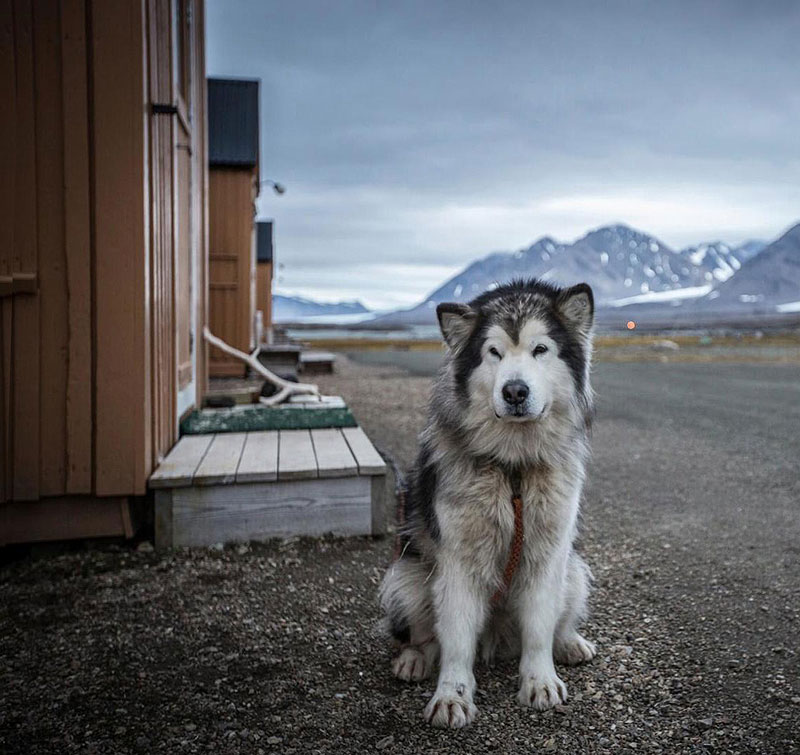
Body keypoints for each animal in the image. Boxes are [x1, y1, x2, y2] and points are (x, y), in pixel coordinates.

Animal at [379, 278, 597, 729]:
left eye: (540, 349)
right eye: (493, 352)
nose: (514, 391)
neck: (513, 468)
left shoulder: (548, 553)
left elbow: (539, 629)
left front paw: (540, 681)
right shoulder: (459, 560)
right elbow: (456, 640)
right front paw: (451, 696)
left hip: (573, 571)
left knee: (558, 622)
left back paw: (570, 643)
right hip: (406, 579)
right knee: (425, 636)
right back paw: (412, 659)